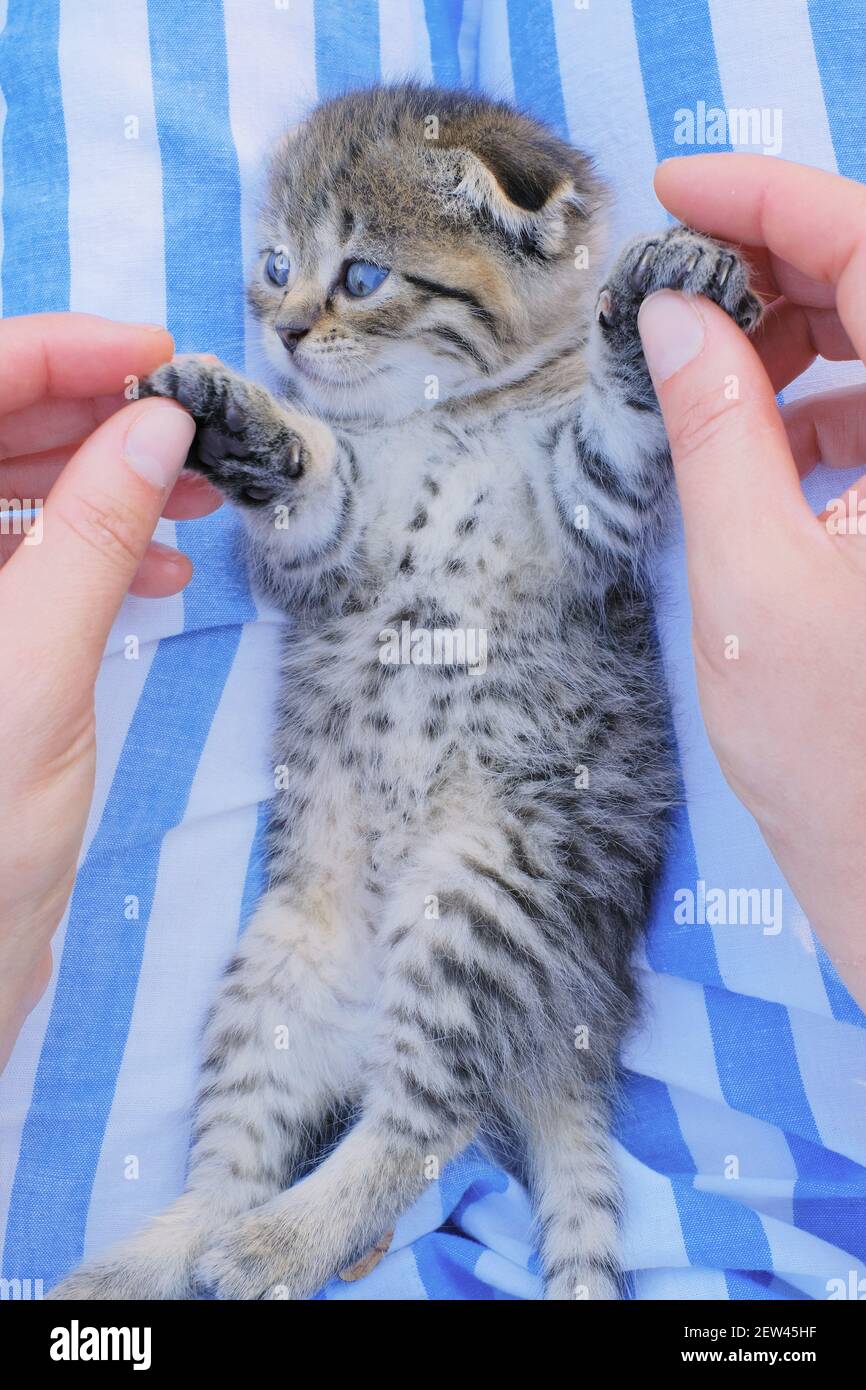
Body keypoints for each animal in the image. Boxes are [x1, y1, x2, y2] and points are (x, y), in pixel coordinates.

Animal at [50, 84, 761, 1301]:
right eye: (276, 266)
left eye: (363, 275)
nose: (284, 334)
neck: (445, 413)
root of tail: (575, 1024)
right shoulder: (331, 542)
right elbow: (313, 484)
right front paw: (235, 416)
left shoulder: (590, 510)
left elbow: (616, 432)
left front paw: (647, 306)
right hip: (274, 977)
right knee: (244, 1165)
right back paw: (150, 1263)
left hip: (480, 900)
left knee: (422, 1123)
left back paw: (281, 1241)